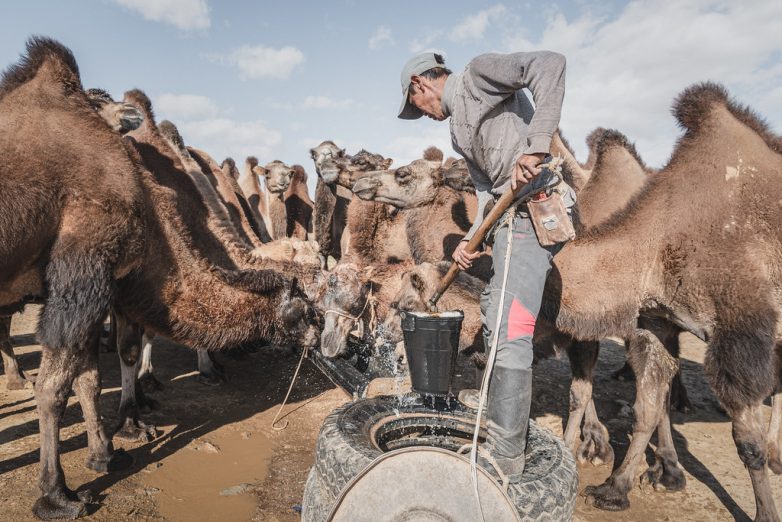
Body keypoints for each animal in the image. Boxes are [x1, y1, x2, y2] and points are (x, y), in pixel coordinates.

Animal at [0, 36, 320, 516]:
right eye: (306, 307)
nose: (325, 341)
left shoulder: (108, 284)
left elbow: (90, 377)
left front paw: (107, 451)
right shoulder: (89, 273)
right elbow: (60, 384)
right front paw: (59, 493)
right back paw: (19, 382)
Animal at [544, 81, 782, 516]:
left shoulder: (739, 334)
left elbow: (746, 443)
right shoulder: (656, 321)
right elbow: (647, 407)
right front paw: (619, 485)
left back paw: (773, 454)